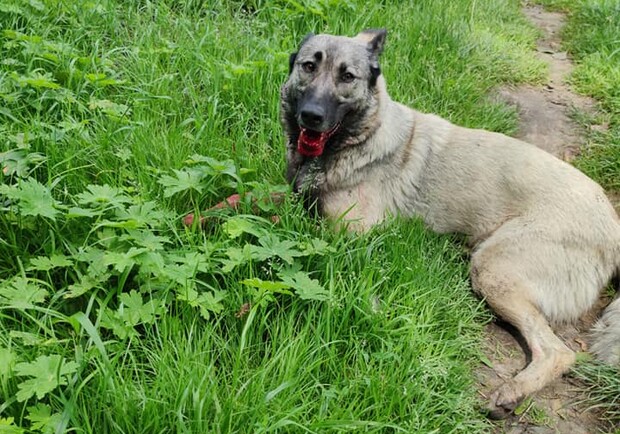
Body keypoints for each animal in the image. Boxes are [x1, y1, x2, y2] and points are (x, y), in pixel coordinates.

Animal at [280, 28, 620, 418]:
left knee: (559, 352)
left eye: (347, 76)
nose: (311, 116)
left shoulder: (350, 234)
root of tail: (613, 226)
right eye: (309, 66)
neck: (367, 135)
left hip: (493, 269)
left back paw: (512, 393)